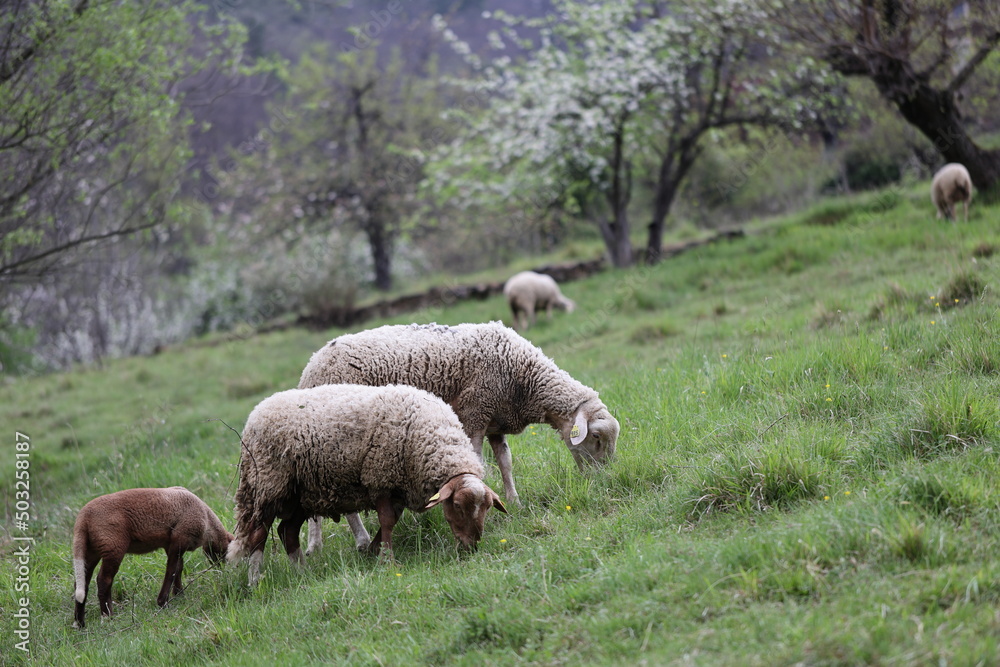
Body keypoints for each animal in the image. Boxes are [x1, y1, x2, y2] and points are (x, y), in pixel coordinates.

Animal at [71, 486, 233, 629]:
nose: (221, 570)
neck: (208, 523)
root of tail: (83, 518)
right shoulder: (179, 540)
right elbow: (171, 571)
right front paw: (163, 602)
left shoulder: (170, 545)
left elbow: (178, 568)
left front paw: (179, 594)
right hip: (113, 547)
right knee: (103, 580)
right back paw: (107, 616)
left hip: (90, 550)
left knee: (81, 583)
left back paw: (79, 623)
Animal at [226, 384, 507, 586]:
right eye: (457, 506)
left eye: (486, 509)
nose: (471, 547)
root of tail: (256, 413)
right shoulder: (380, 477)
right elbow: (387, 521)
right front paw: (386, 560)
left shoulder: (398, 486)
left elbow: (390, 521)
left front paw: (374, 550)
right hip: (268, 484)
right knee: (259, 535)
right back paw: (254, 581)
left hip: (299, 495)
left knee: (287, 532)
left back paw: (301, 574)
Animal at [298, 321, 619, 555]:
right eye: (597, 437)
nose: (603, 479)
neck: (524, 380)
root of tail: (311, 365)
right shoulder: (474, 414)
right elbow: (480, 463)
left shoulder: (495, 423)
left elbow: (506, 462)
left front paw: (514, 503)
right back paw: (344, 542)